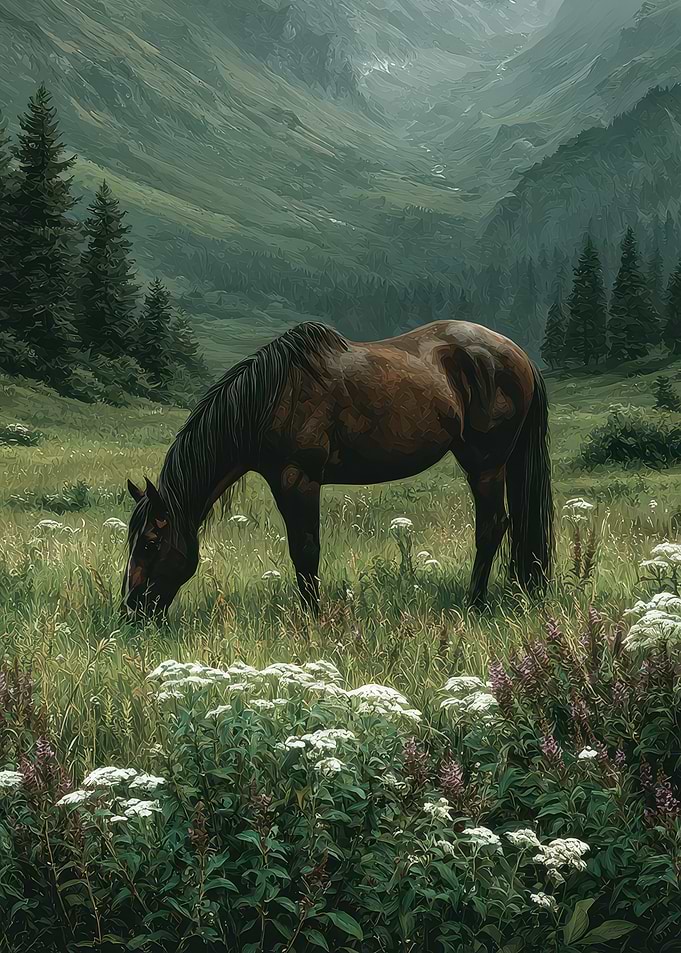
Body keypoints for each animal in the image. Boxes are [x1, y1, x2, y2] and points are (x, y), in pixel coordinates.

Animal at [122, 320, 554, 620]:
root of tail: (518, 354)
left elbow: (305, 551)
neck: (269, 398)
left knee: (492, 527)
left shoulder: (298, 479)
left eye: (150, 543)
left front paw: (314, 619)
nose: (131, 608)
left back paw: (474, 604)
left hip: (485, 465)